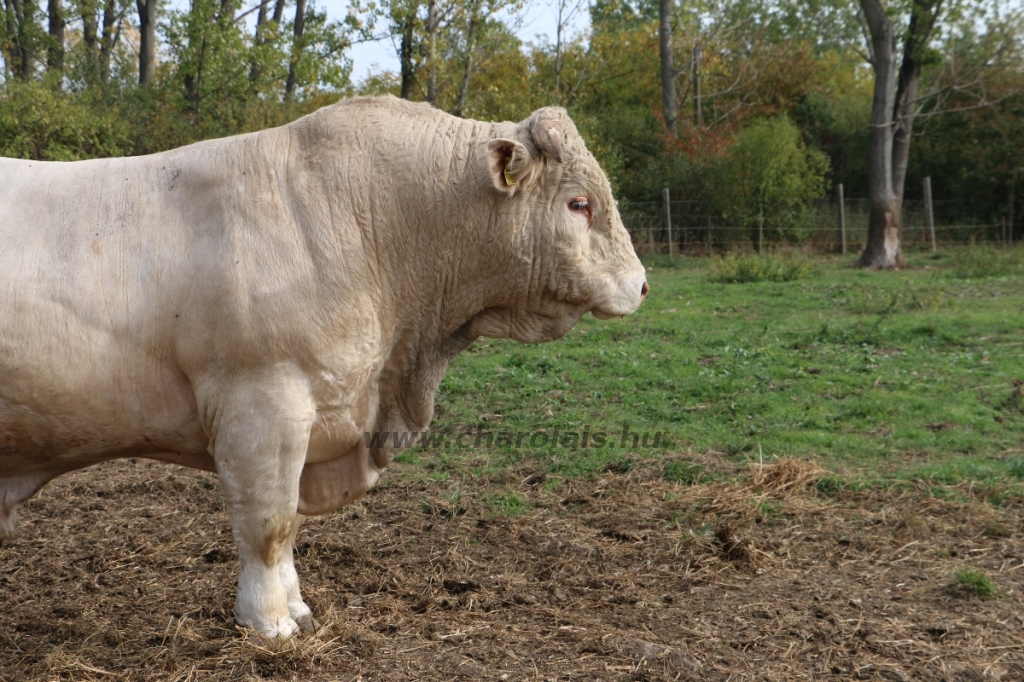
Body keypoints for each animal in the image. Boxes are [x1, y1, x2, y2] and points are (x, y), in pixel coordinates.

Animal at [0, 96, 643, 638]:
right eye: (579, 204)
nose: (640, 284)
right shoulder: (263, 406)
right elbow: (269, 525)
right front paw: (270, 624)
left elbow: (289, 533)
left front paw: (299, 609)